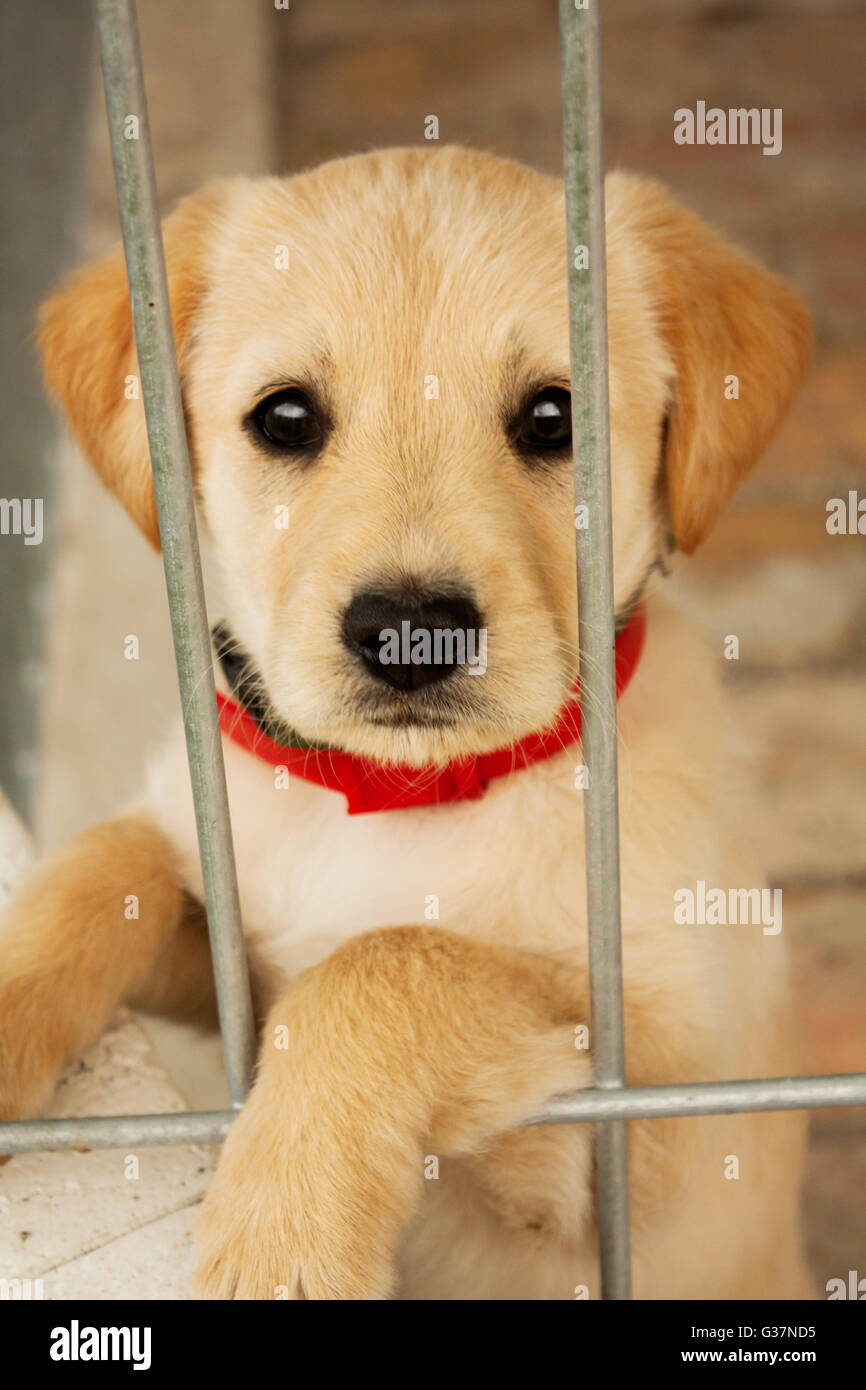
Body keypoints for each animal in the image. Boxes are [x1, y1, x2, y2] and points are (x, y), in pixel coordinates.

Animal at [0, 146, 817, 1295]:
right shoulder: (231, 955)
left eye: (553, 419)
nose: (409, 633)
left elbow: (391, 962)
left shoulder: (657, 1123)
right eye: (286, 419)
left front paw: (284, 1232)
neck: (403, 796)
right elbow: (99, 865)